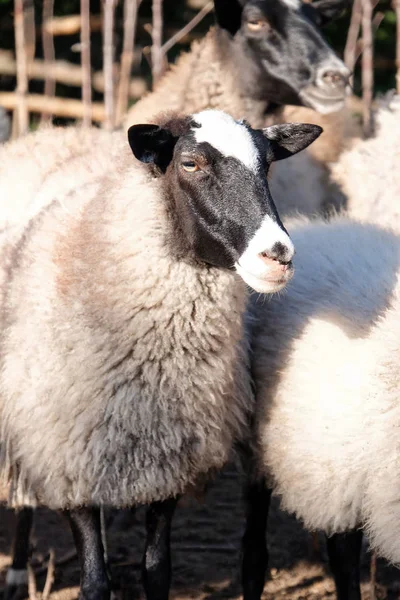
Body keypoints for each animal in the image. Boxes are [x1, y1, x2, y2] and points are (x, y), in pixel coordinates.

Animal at [0, 109, 322, 600]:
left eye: (267, 164)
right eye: (189, 163)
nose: (279, 256)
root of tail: (54, 133)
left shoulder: (169, 459)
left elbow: (157, 569)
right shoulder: (69, 459)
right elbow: (94, 582)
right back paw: (17, 571)